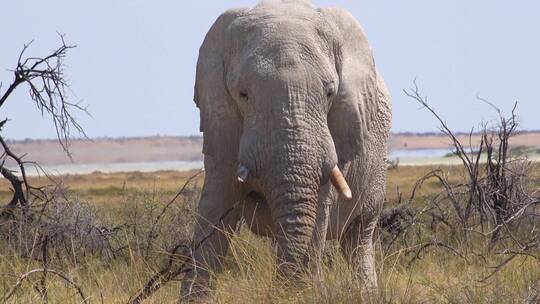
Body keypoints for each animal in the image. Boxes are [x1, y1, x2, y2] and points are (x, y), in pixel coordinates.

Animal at [181, 0, 392, 300]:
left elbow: (318, 210)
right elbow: (215, 206)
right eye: (243, 95)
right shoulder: (220, 123)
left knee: (358, 238)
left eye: (330, 93)